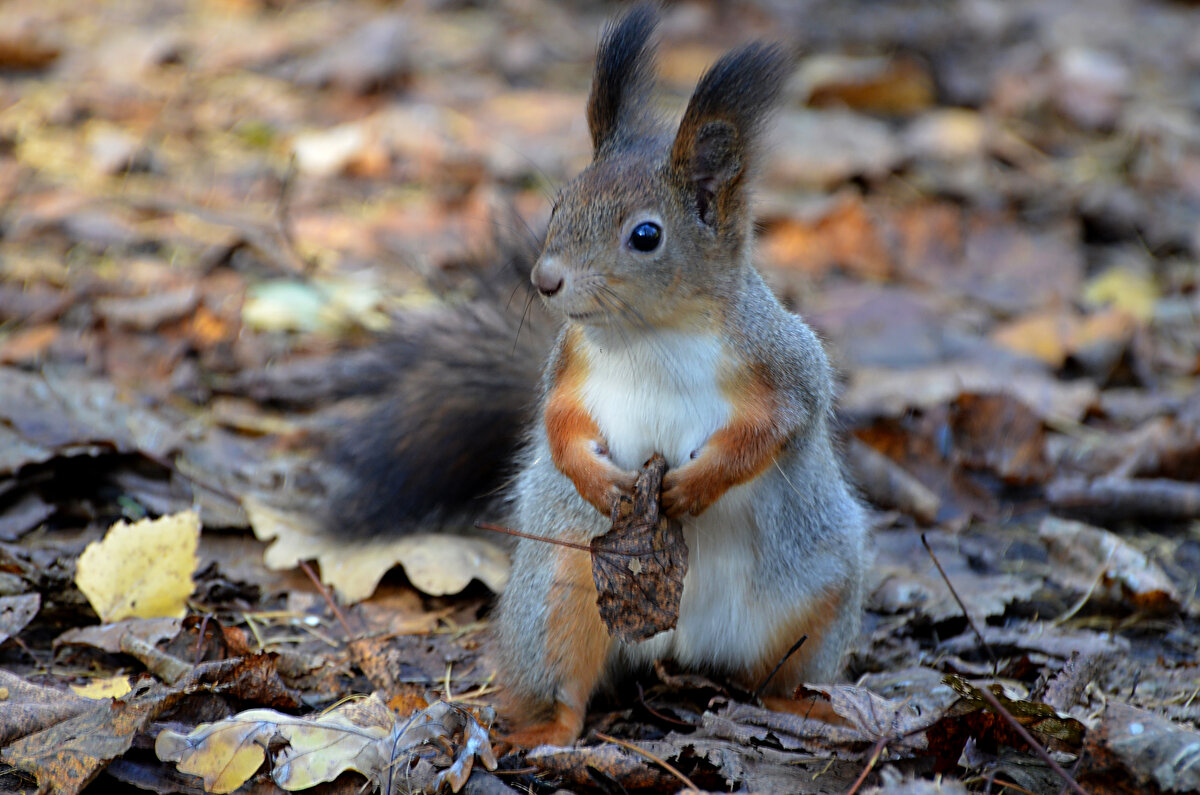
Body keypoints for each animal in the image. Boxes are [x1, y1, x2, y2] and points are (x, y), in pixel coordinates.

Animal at [328, 3, 868, 749]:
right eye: (559, 205)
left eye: (646, 236)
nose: (545, 279)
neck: (649, 336)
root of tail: (679, 643)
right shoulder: (569, 367)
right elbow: (559, 422)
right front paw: (596, 479)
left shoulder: (784, 364)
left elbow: (778, 426)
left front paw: (697, 484)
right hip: (562, 593)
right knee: (568, 679)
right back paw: (545, 731)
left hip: (815, 596)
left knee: (775, 677)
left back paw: (809, 707)